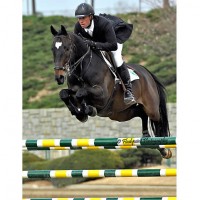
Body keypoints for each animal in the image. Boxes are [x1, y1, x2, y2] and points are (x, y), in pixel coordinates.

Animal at [50, 25, 172, 159]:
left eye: (66, 48)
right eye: (52, 49)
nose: (59, 77)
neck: (82, 68)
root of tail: (147, 73)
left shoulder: (102, 94)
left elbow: (81, 92)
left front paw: (87, 110)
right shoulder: (73, 91)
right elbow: (64, 94)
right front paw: (80, 113)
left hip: (151, 108)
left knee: (158, 121)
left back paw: (164, 149)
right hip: (121, 113)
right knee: (142, 114)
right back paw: (146, 137)